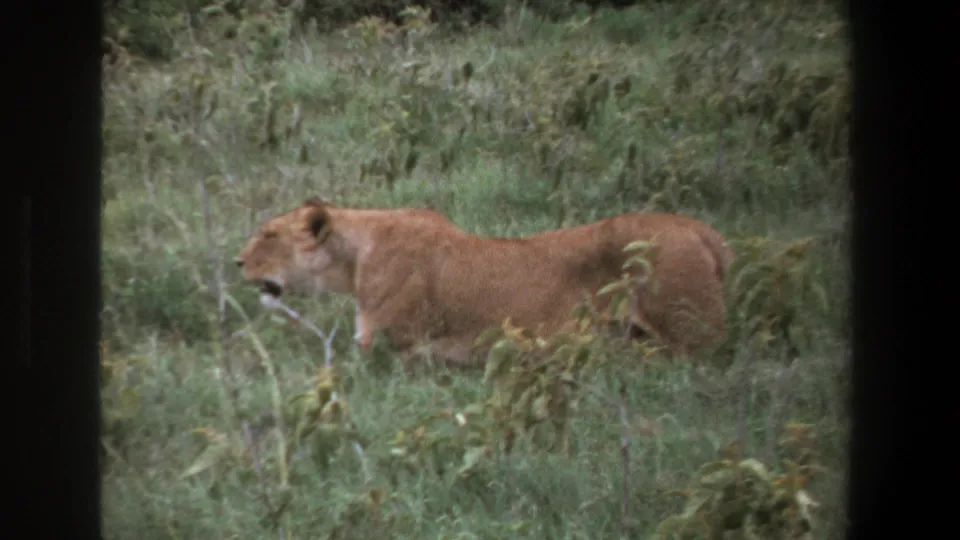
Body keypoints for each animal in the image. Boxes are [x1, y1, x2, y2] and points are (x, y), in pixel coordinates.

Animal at [235, 197, 734, 366]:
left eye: (269, 235)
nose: (237, 262)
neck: (355, 258)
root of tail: (702, 230)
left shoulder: (386, 349)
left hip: (688, 334)